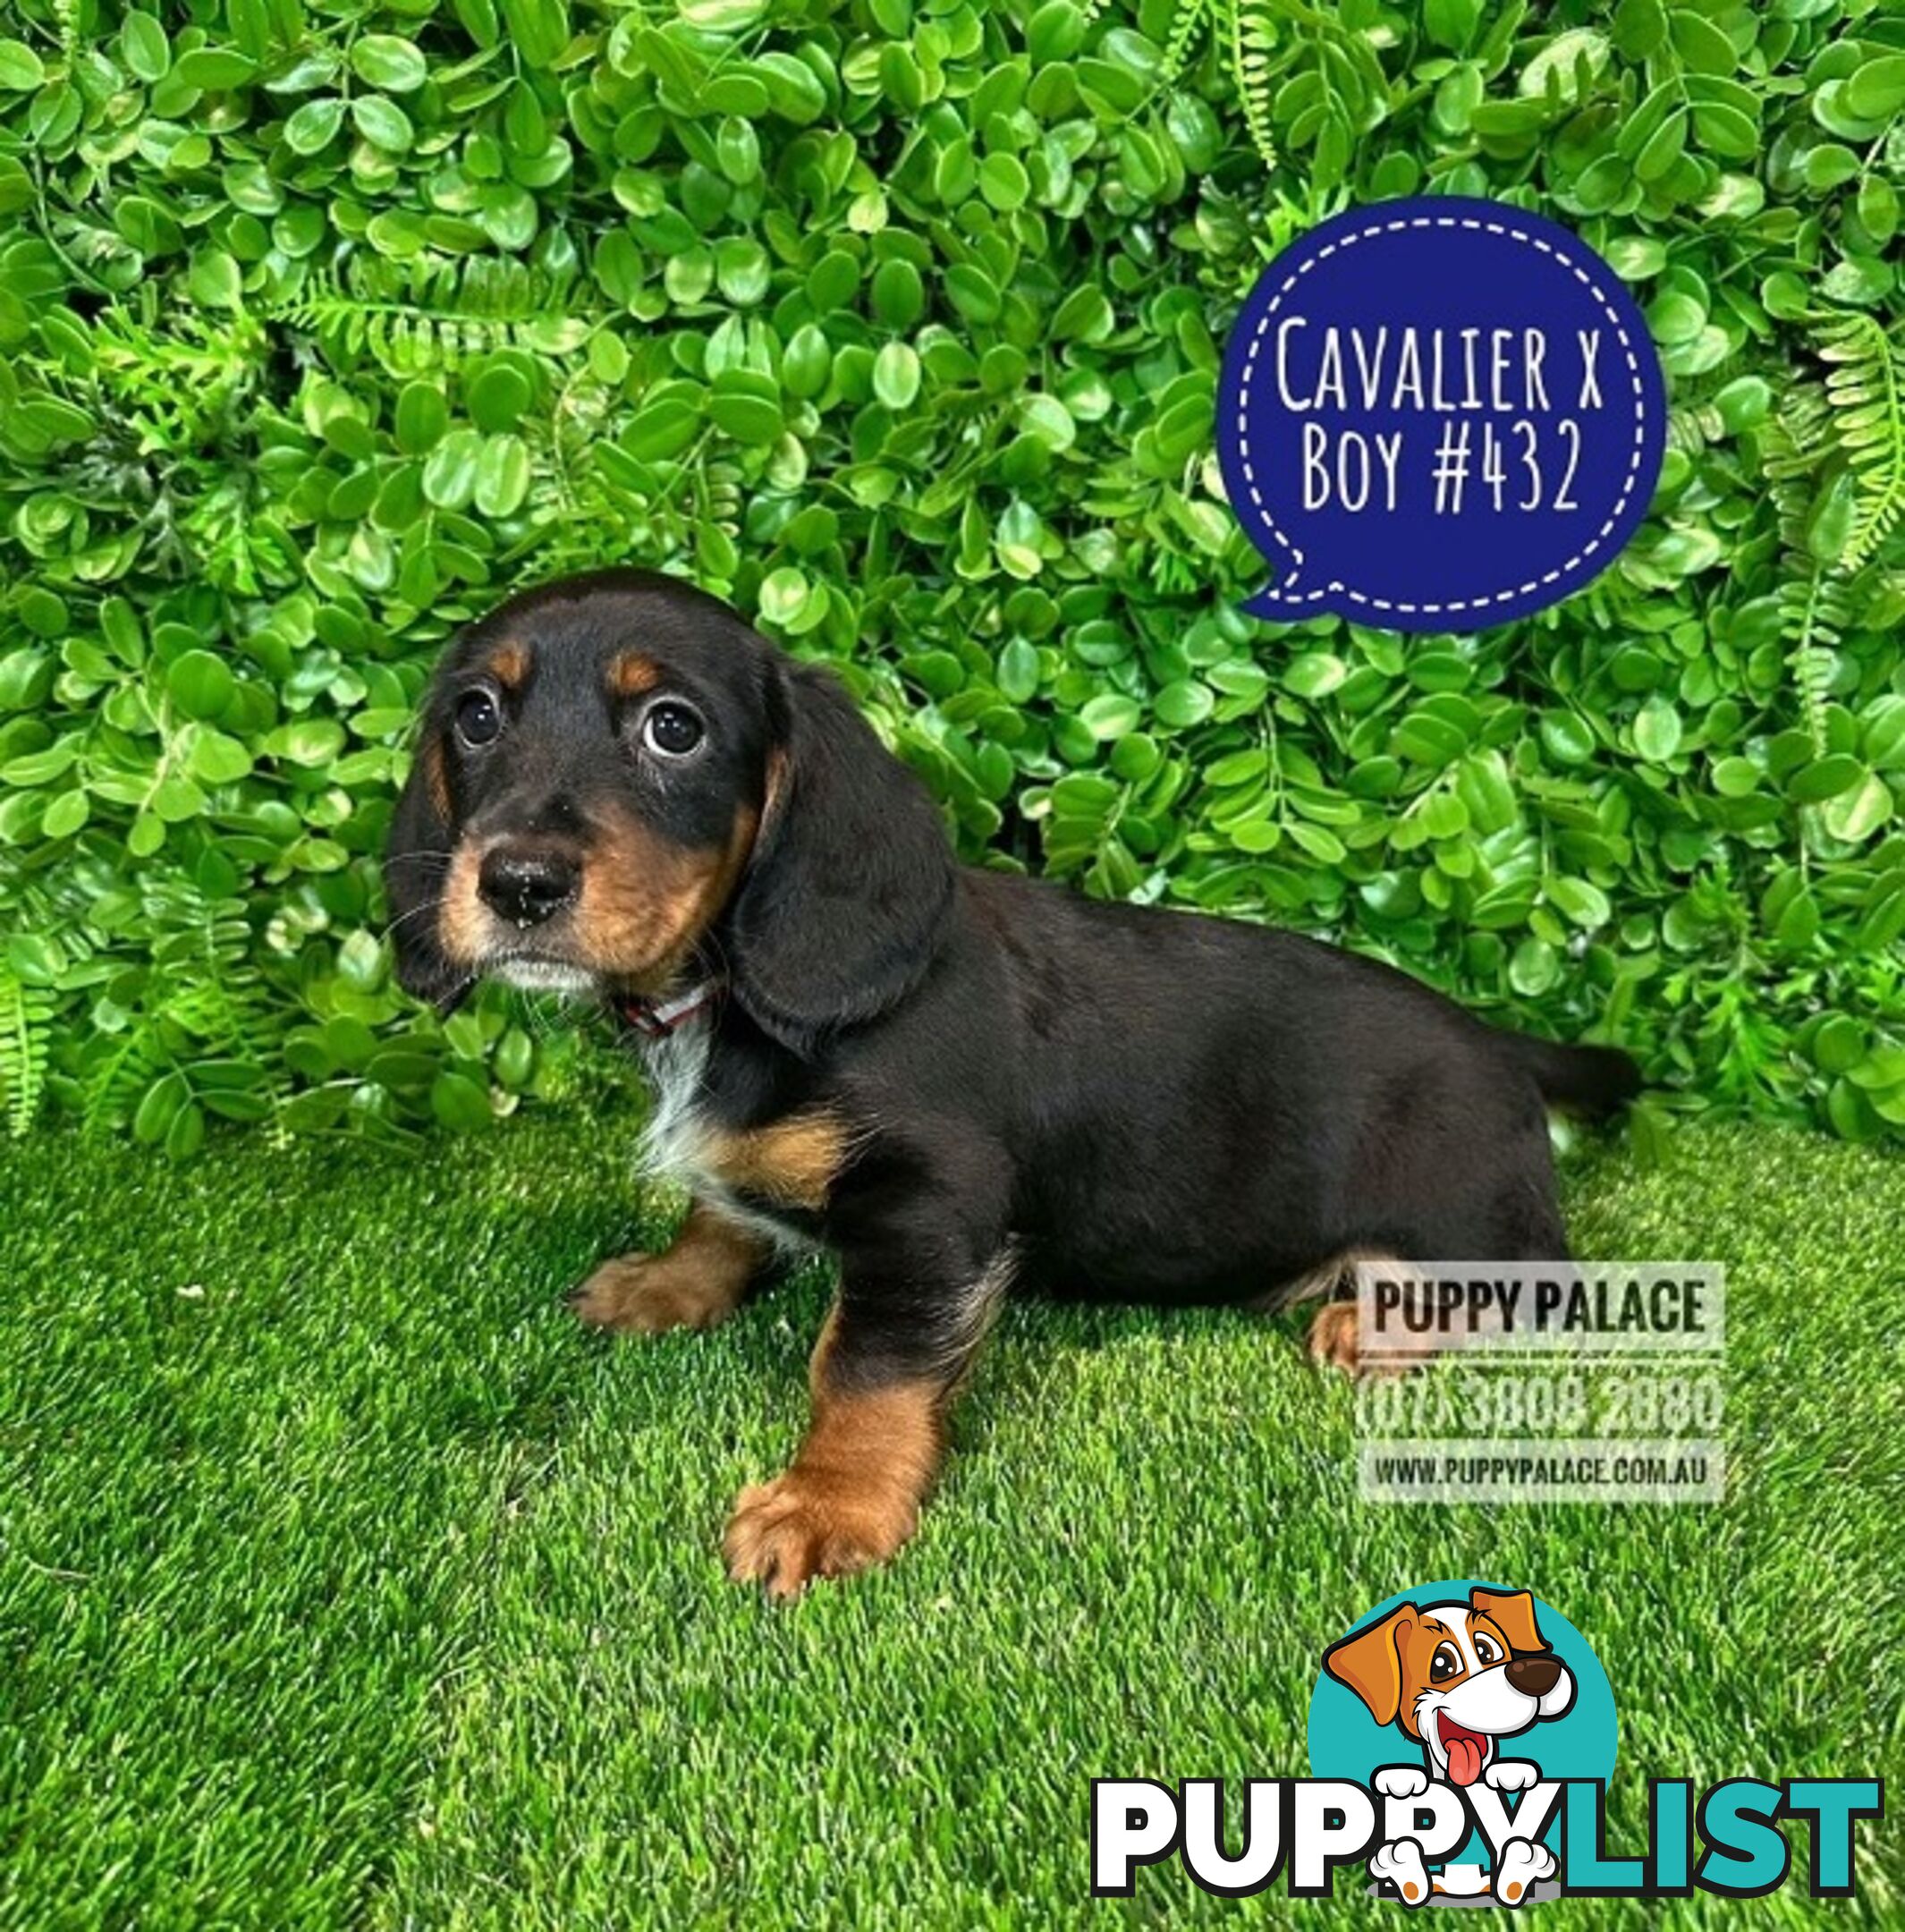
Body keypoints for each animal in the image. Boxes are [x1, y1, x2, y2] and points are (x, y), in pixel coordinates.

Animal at [386, 568, 1630, 1599]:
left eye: (673, 728)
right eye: (478, 716)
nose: (518, 884)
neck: (723, 996)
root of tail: (1506, 1045)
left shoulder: (930, 1204)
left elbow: (861, 1365)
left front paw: (828, 1505)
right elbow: (720, 1214)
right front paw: (668, 1283)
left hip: (1471, 1212)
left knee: (1537, 1284)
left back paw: (1385, 1326)